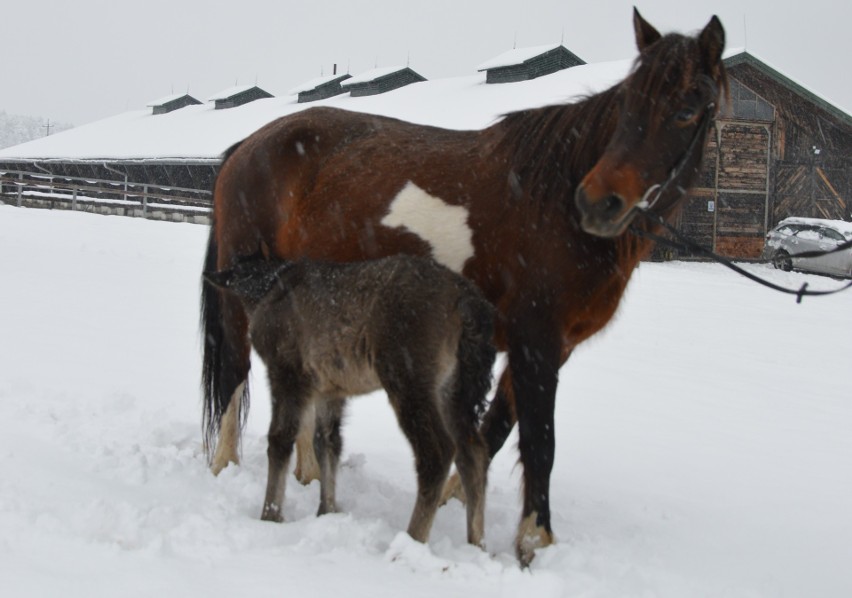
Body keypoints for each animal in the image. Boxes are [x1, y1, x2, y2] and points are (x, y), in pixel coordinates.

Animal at [200, 11, 724, 568]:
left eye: (687, 109)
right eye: (627, 102)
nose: (598, 202)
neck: (552, 201)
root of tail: (247, 146)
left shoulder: (547, 347)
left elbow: (493, 433)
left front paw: (468, 511)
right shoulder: (535, 340)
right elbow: (539, 442)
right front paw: (534, 540)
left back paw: (311, 476)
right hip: (241, 300)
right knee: (234, 379)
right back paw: (225, 468)